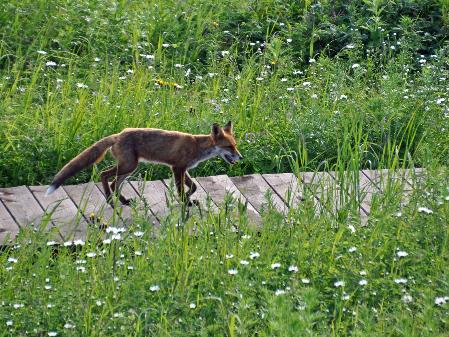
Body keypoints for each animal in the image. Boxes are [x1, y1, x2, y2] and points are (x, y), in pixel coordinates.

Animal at [45, 121, 242, 205]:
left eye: (235, 145)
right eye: (229, 146)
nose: (240, 157)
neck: (197, 146)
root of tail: (119, 134)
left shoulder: (184, 169)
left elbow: (193, 187)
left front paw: (188, 199)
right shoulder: (177, 168)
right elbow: (182, 189)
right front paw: (184, 202)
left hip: (129, 168)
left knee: (115, 182)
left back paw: (123, 200)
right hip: (128, 166)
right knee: (104, 175)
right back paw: (109, 199)